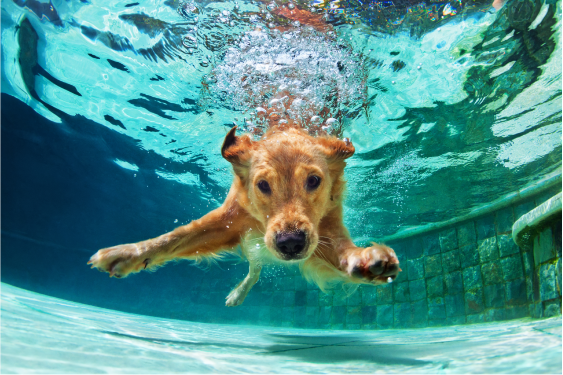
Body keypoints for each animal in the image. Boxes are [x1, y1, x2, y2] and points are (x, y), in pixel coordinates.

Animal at [89, 125, 400, 306]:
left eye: (313, 181)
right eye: (262, 185)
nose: (290, 243)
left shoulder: (325, 230)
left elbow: (344, 251)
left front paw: (366, 260)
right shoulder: (228, 220)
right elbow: (175, 237)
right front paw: (128, 253)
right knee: (254, 269)